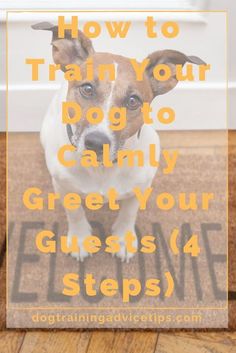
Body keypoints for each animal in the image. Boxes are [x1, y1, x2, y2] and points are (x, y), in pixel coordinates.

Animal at [32, 20, 206, 262]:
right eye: (87, 88)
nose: (96, 143)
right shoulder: (64, 187)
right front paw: (80, 238)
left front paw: (123, 238)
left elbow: (129, 212)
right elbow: (74, 212)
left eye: (133, 101)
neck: (102, 168)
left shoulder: (140, 187)